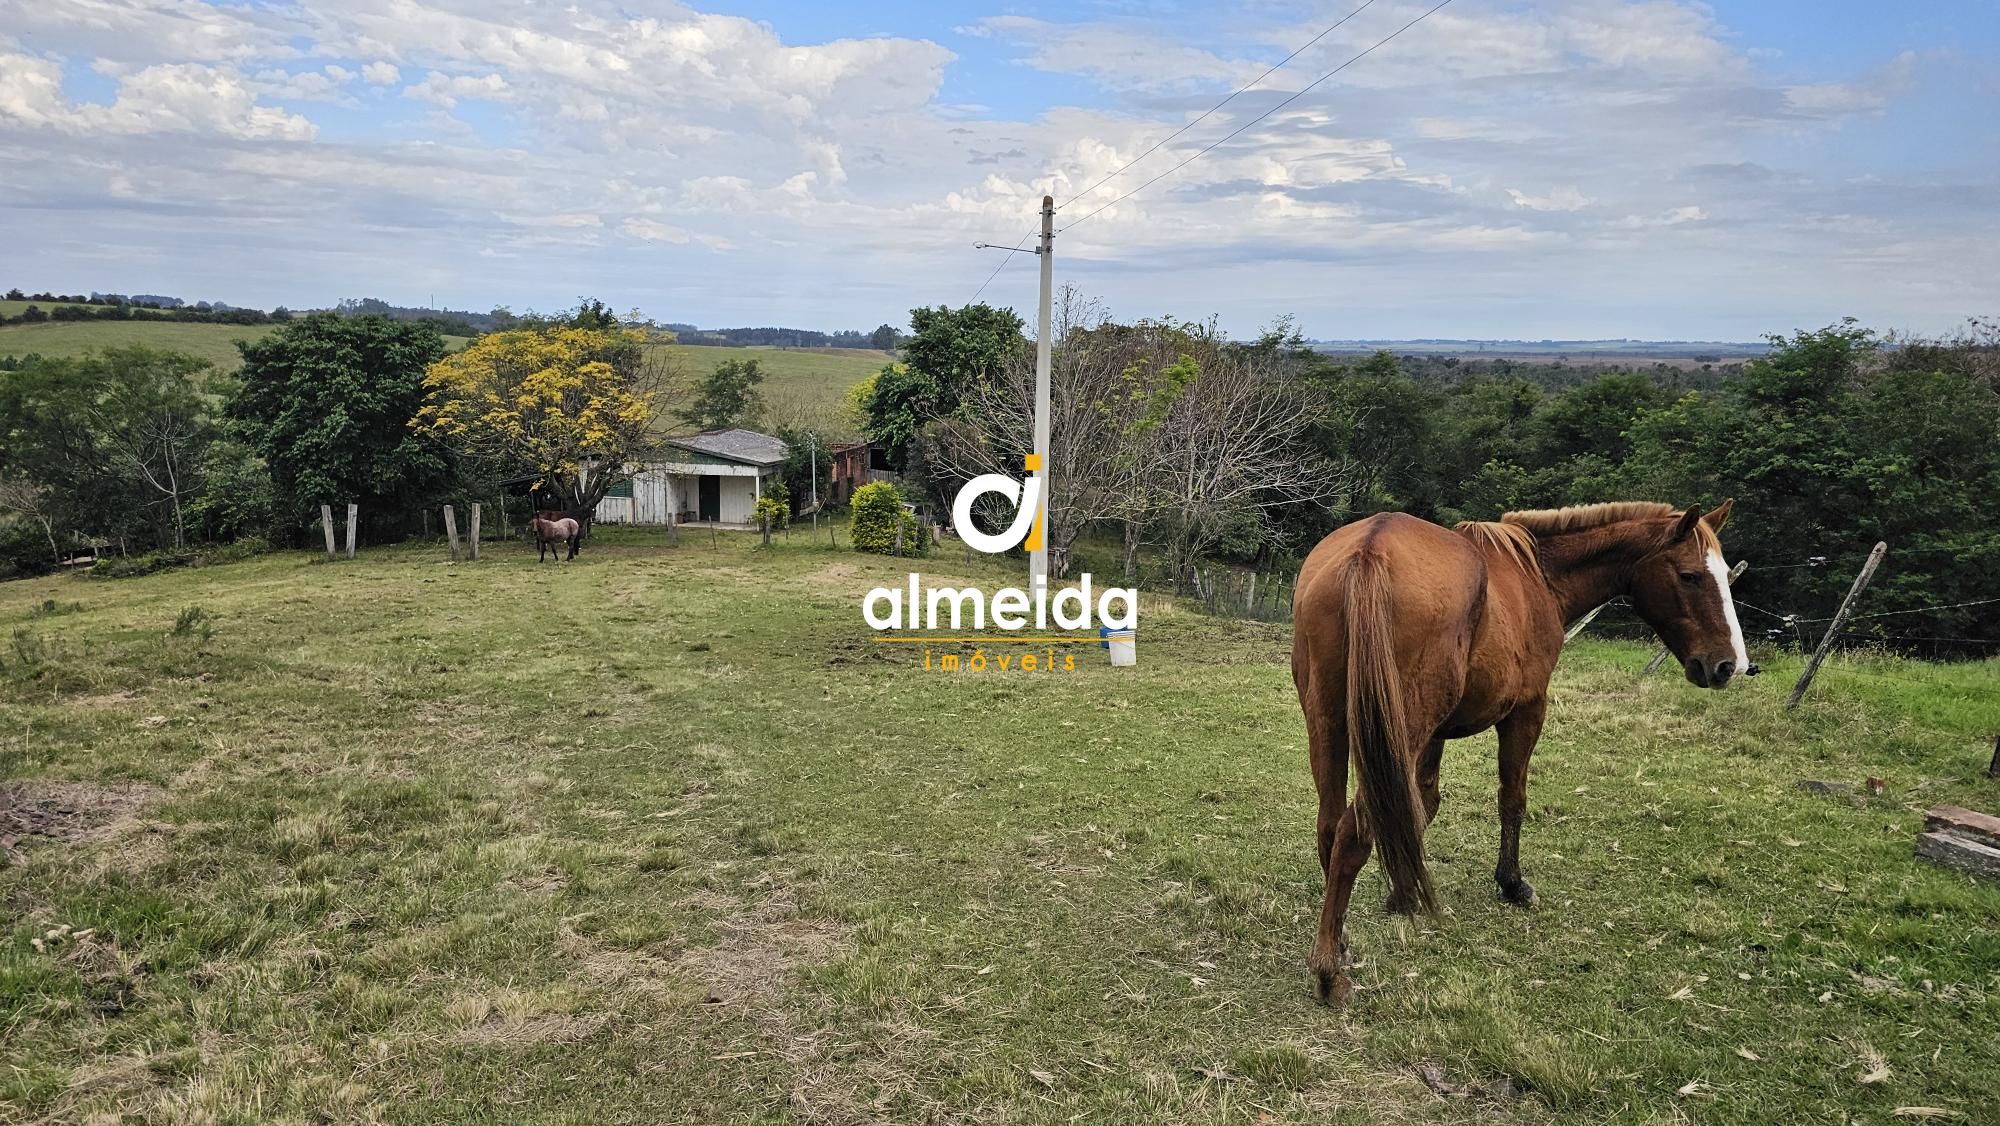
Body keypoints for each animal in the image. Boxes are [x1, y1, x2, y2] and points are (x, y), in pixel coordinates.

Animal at [1296, 502, 1752, 1004]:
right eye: (1691, 576)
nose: (1730, 665)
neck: (1540, 576)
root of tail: (1370, 548)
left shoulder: (1431, 736)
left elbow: (1417, 805)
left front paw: (1403, 893)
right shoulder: (1527, 711)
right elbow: (1511, 800)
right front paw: (1511, 883)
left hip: (1331, 725)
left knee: (1331, 826)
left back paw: (1339, 942)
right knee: (1353, 834)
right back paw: (1329, 970)